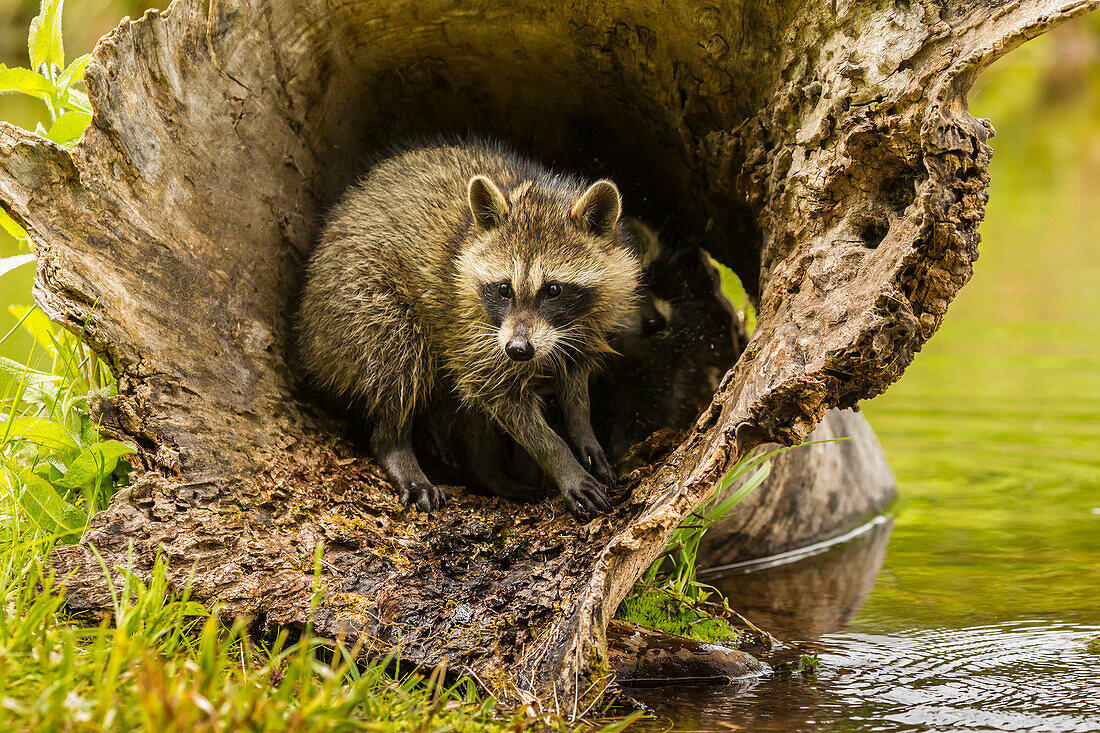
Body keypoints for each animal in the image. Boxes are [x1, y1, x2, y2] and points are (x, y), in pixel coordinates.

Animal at [297, 135, 642, 512]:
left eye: (553, 289)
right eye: (504, 288)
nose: (518, 350)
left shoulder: (590, 317)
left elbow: (576, 377)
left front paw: (582, 428)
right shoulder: (476, 327)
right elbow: (499, 396)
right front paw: (562, 461)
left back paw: (485, 472)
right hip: (359, 296)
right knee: (399, 358)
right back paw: (396, 445)